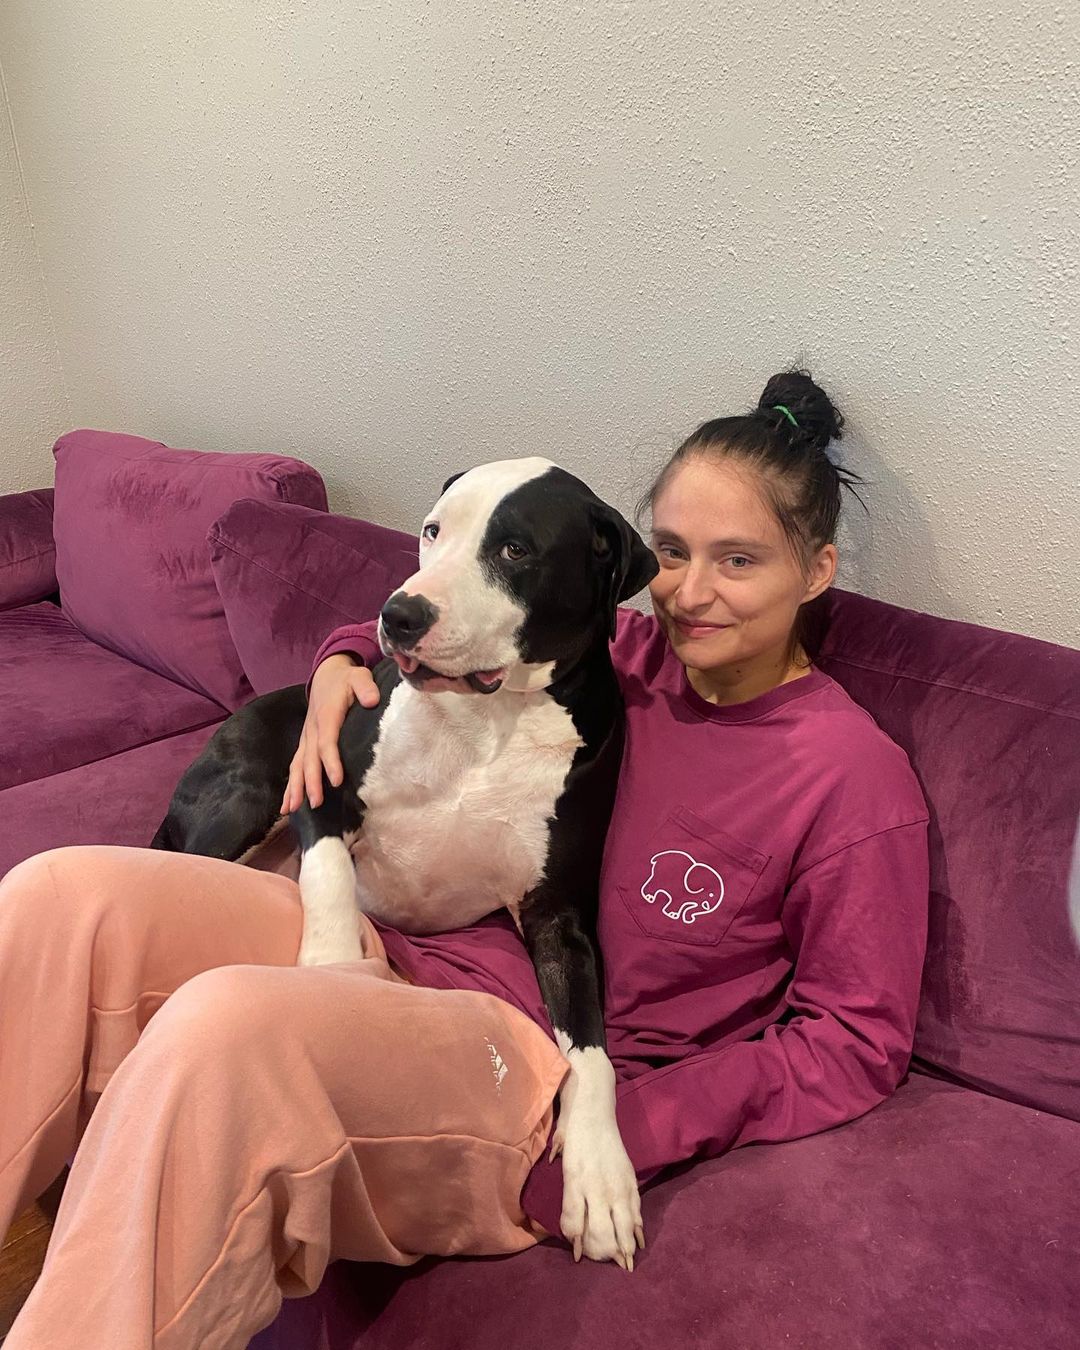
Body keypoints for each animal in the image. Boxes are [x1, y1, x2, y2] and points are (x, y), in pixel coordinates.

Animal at [151, 459, 658, 1269]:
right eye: (432, 530)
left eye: (515, 549)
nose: (397, 615)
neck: (487, 720)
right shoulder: (320, 790)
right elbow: (328, 877)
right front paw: (330, 970)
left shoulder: (560, 921)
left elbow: (591, 1053)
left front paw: (601, 1178)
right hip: (247, 795)